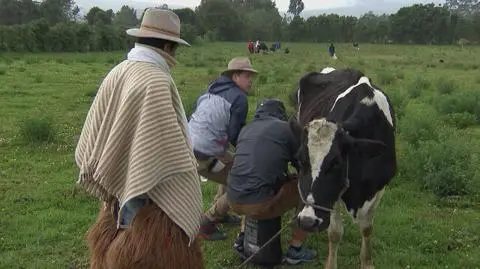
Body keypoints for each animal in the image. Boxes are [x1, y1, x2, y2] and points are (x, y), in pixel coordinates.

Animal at [288, 66, 398, 268]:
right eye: (299, 160)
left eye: (337, 162)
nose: (307, 221)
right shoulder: (335, 197)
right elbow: (335, 233)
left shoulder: (379, 188)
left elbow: (367, 228)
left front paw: (367, 262)